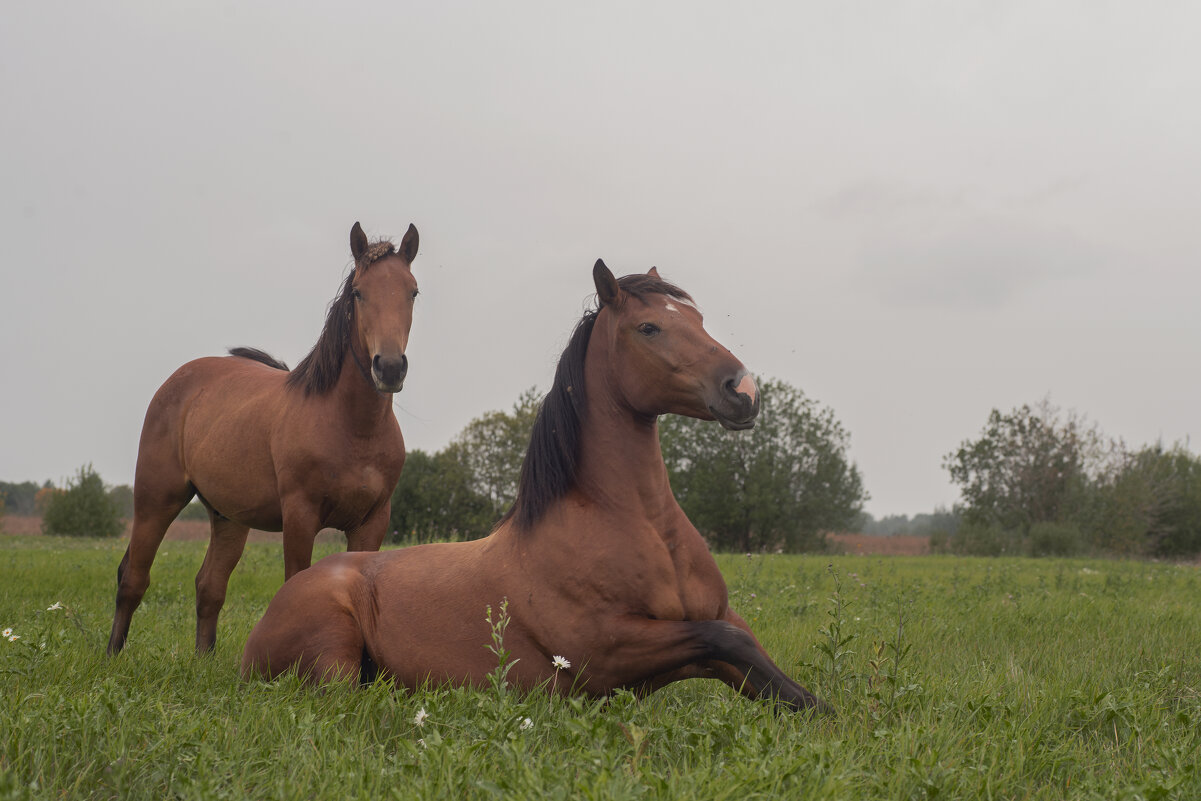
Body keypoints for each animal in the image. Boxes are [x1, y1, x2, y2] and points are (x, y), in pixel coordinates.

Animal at [105, 220, 422, 658]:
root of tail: (179, 380)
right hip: (156, 500)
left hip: (229, 519)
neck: (352, 427)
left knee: (209, 586)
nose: (389, 368)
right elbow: (295, 583)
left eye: (413, 291)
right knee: (133, 577)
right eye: (359, 292)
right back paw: (112, 656)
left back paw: (203, 660)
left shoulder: (371, 522)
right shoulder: (300, 516)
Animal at [238, 258, 831, 715]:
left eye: (699, 318)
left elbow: (756, 659)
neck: (637, 525)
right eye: (648, 328)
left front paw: (822, 712)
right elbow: (727, 642)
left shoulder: (714, 620)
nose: (743, 391)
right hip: (334, 654)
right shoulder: (607, 650)